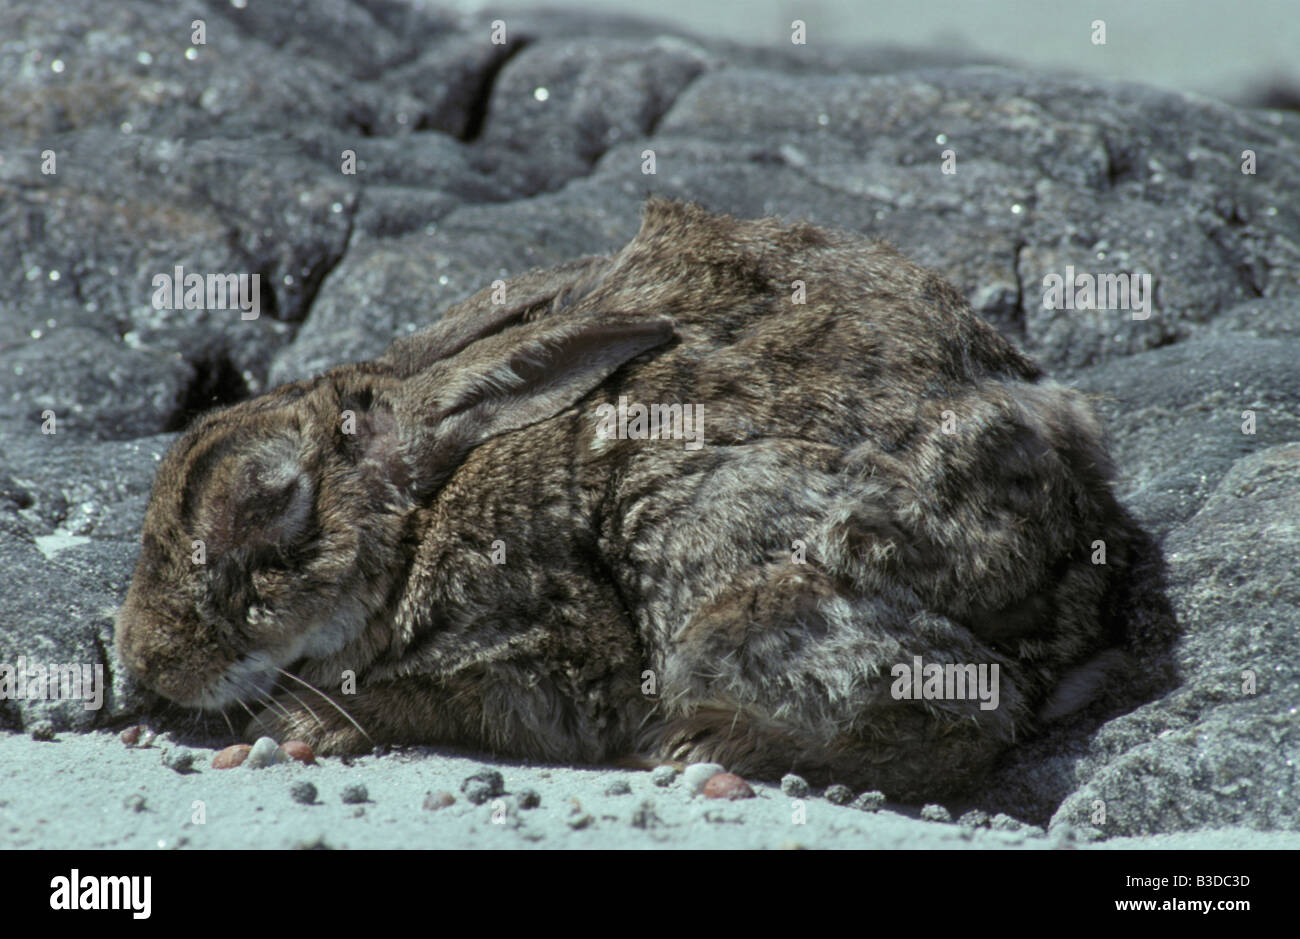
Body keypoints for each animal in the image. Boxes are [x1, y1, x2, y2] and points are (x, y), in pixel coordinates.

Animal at [114, 195, 1128, 795]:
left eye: (269, 505)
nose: (146, 661)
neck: (419, 524)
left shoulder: (537, 646)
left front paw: (298, 725)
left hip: (725, 584)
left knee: (969, 716)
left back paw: (700, 751)